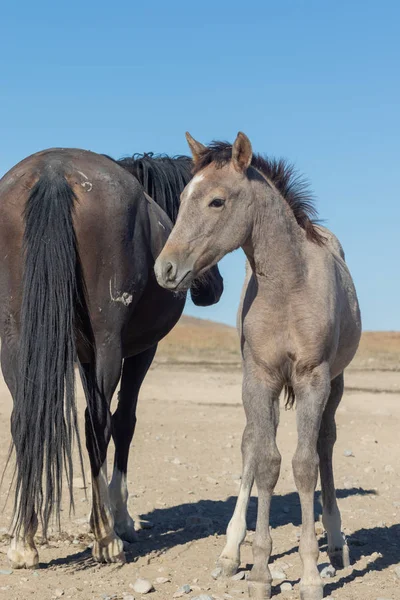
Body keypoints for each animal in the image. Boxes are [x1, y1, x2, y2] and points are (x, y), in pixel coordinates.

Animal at [155, 134, 362, 596]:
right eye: (182, 196)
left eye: (216, 201)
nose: (165, 268)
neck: (288, 286)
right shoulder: (259, 379)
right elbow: (266, 461)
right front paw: (261, 572)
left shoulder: (313, 379)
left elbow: (305, 465)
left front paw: (309, 575)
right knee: (251, 443)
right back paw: (231, 553)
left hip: (336, 384)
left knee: (325, 445)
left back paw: (336, 543)